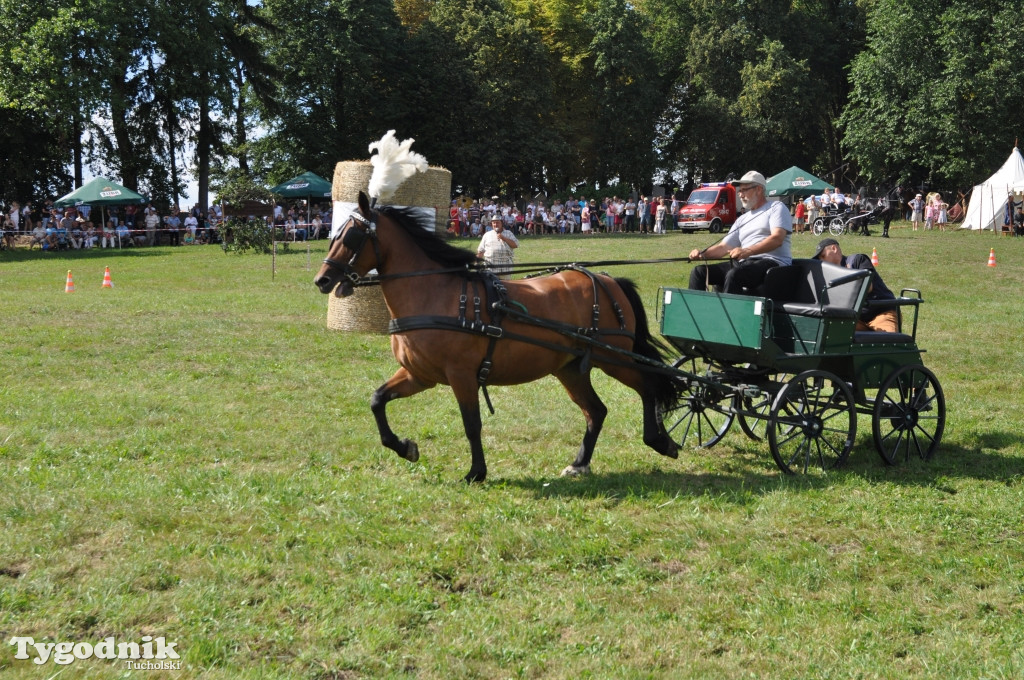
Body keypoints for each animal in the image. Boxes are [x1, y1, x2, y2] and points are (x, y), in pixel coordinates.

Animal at [313, 188, 679, 481]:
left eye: (350, 236)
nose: (322, 280)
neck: (435, 293)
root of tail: (608, 280)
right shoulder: (419, 375)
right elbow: (377, 400)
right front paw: (406, 448)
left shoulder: (461, 375)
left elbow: (471, 424)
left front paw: (476, 472)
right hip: (571, 368)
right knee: (596, 411)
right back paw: (580, 463)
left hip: (613, 358)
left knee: (649, 386)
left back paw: (660, 440)